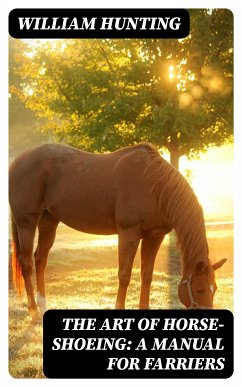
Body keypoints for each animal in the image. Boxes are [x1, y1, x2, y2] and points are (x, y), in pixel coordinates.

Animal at [8, 142, 226, 322]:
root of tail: (17, 161)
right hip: (26, 222)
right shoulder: (129, 233)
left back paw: (43, 306)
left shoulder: (154, 237)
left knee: (40, 260)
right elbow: (125, 275)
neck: (155, 187)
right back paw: (34, 312)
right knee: (27, 263)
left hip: (49, 220)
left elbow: (147, 275)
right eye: (199, 289)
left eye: (214, 290)